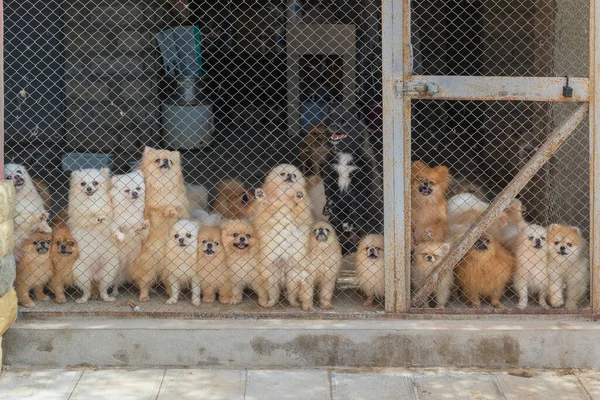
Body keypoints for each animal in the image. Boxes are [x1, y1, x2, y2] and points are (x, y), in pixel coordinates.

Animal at [68, 169, 124, 304]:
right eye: (83, 183)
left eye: (95, 183)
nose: (89, 188)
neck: (92, 202)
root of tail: (95, 275)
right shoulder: (80, 218)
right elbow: (89, 217)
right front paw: (96, 217)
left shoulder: (110, 220)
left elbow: (112, 225)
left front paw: (118, 235)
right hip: (81, 273)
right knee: (87, 291)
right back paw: (83, 299)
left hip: (109, 272)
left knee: (102, 288)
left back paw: (107, 298)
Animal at [131, 148, 190, 302]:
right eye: (157, 160)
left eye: (170, 161)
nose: (165, 161)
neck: (162, 185)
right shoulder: (149, 211)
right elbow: (150, 218)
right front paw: (145, 225)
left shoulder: (181, 209)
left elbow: (175, 212)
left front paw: (170, 211)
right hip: (147, 263)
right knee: (144, 281)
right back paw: (144, 295)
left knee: (170, 282)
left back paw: (170, 294)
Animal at [322, 107, 382, 253]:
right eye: (331, 119)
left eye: (343, 121)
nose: (332, 126)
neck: (345, 154)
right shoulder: (331, 176)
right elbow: (331, 198)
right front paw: (330, 208)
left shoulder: (361, 184)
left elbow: (356, 206)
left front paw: (349, 222)